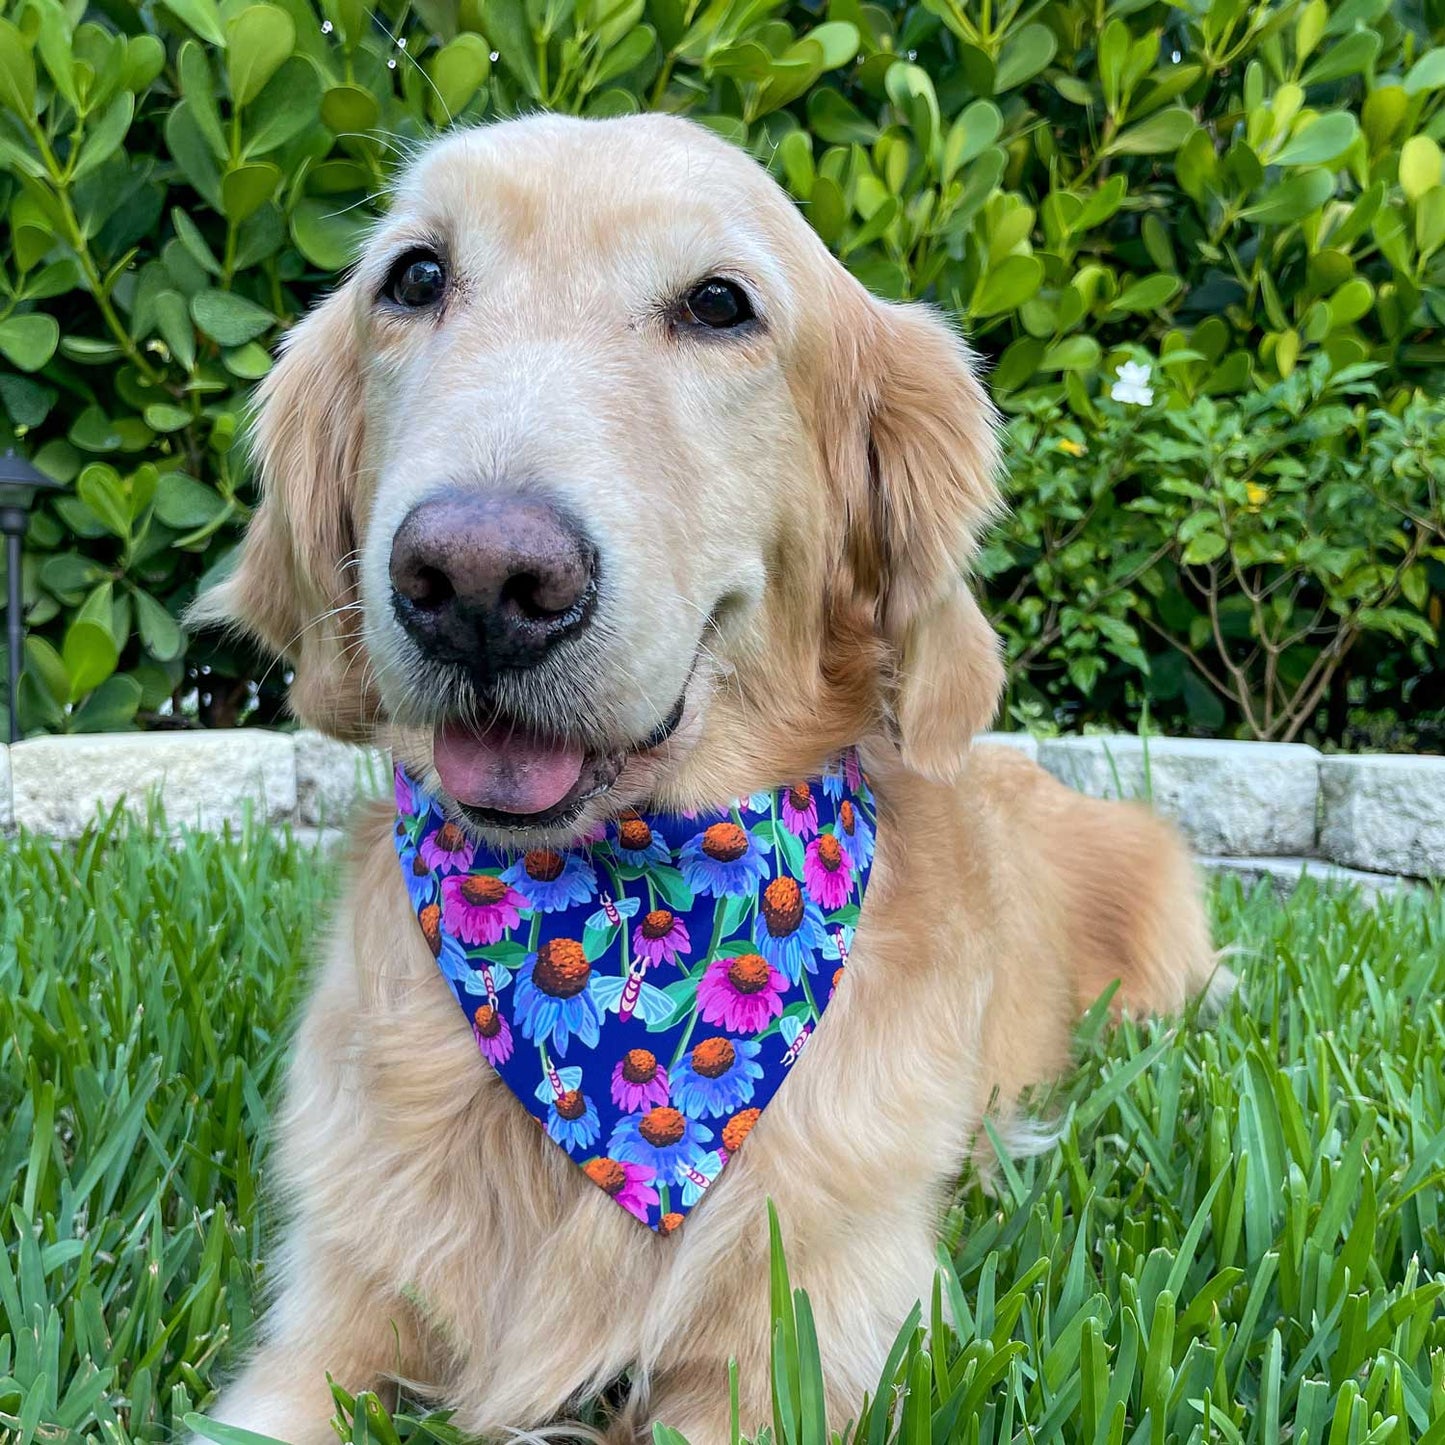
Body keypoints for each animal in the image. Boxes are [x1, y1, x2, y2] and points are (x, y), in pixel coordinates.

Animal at [192, 109, 1208, 1445]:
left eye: (718, 304)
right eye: (413, 277)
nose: (476, 582)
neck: (615, 903)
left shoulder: (807, 1335)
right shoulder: (322, 1318)